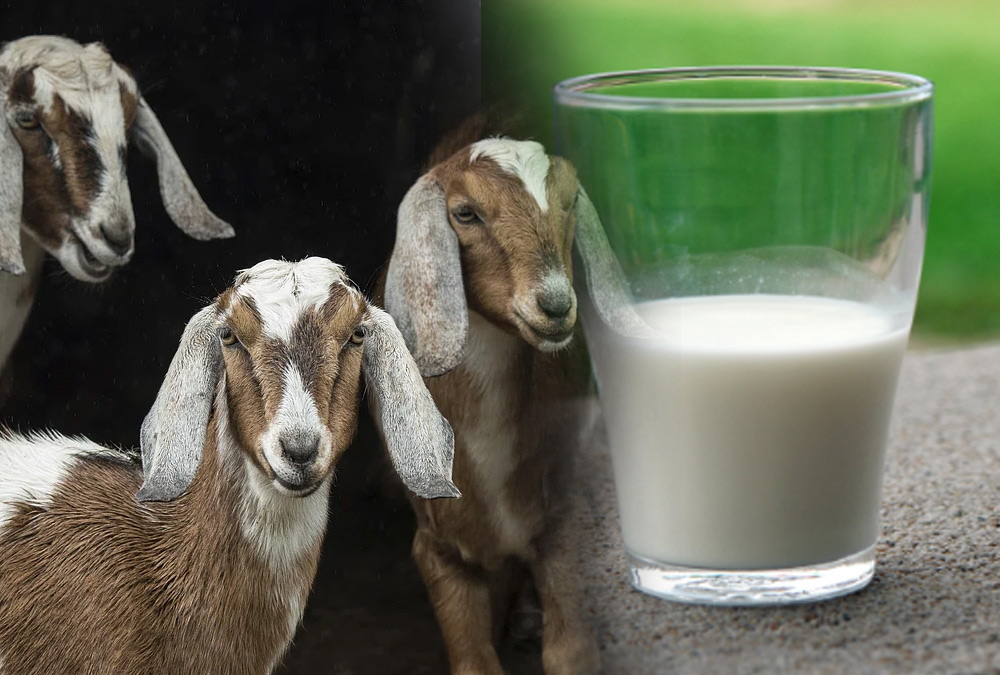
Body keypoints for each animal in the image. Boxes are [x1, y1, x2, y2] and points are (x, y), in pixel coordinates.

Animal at [383, 130, 629, 674]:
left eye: (571, 199)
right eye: (465, 212)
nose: (555, 305)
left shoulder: (562, 524)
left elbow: (569, 653)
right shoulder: (438, 545)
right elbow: (474, 661)